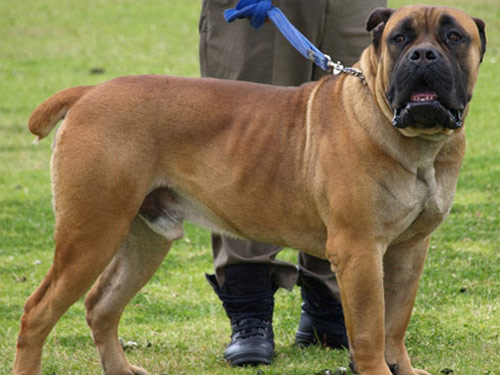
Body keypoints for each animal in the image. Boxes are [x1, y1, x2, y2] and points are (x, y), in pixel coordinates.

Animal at [14, 5, 484, 375]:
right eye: (399, 38)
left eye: (454, 37)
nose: (423, 54)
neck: (418, 144)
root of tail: (89, 92)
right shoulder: (360, 249)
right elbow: (370, 329)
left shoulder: (409, 250)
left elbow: (395, 322)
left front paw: (401, 367)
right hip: (90, 234)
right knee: (37, 312)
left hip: (143, 238)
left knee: (101, 305)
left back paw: (120, 368)